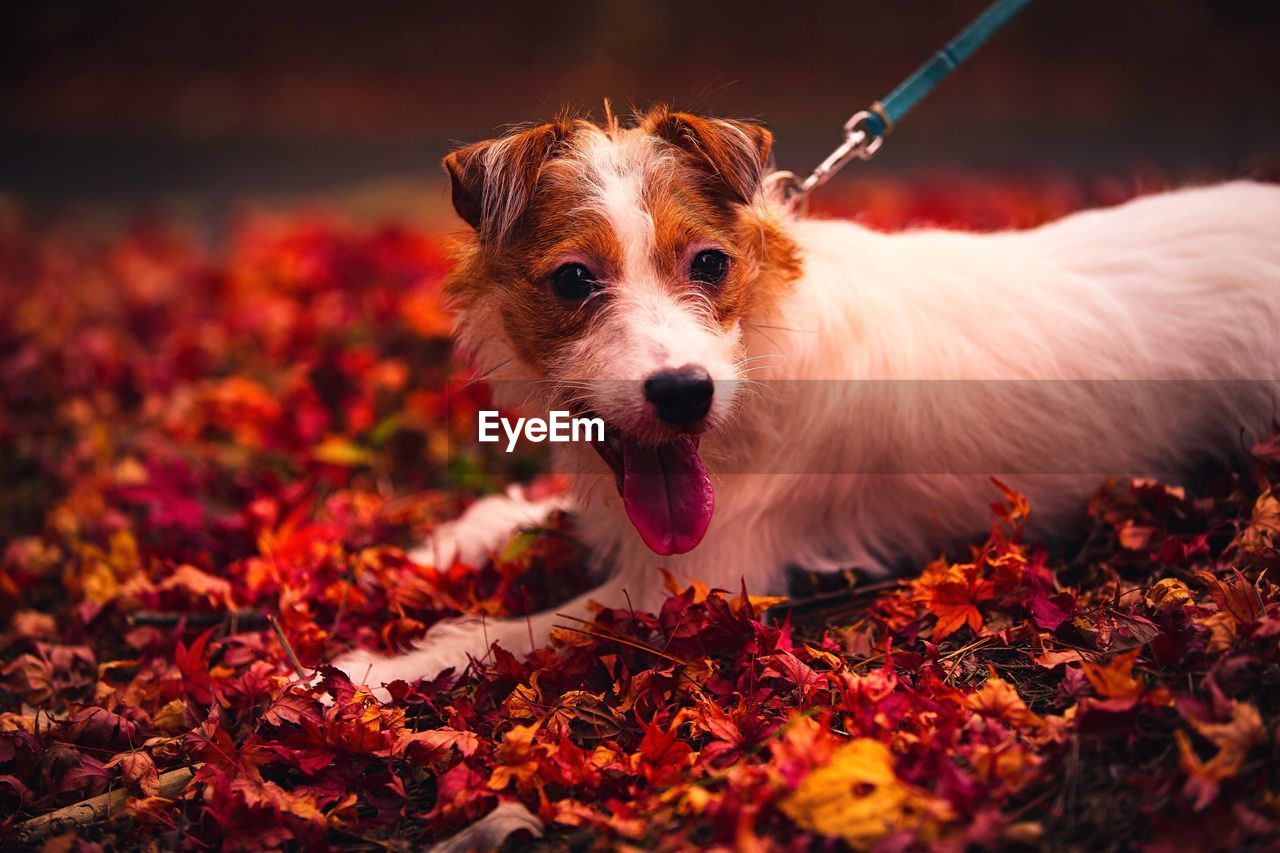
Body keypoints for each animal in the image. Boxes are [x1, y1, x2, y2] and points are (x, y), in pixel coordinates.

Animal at [332, 106, 1280, 691]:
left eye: (710, 263)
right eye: (573, 279)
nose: (685, 394)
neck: (759, 341)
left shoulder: (684, 586)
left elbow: (504, 632)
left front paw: (369, 669)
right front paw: (455, 536)